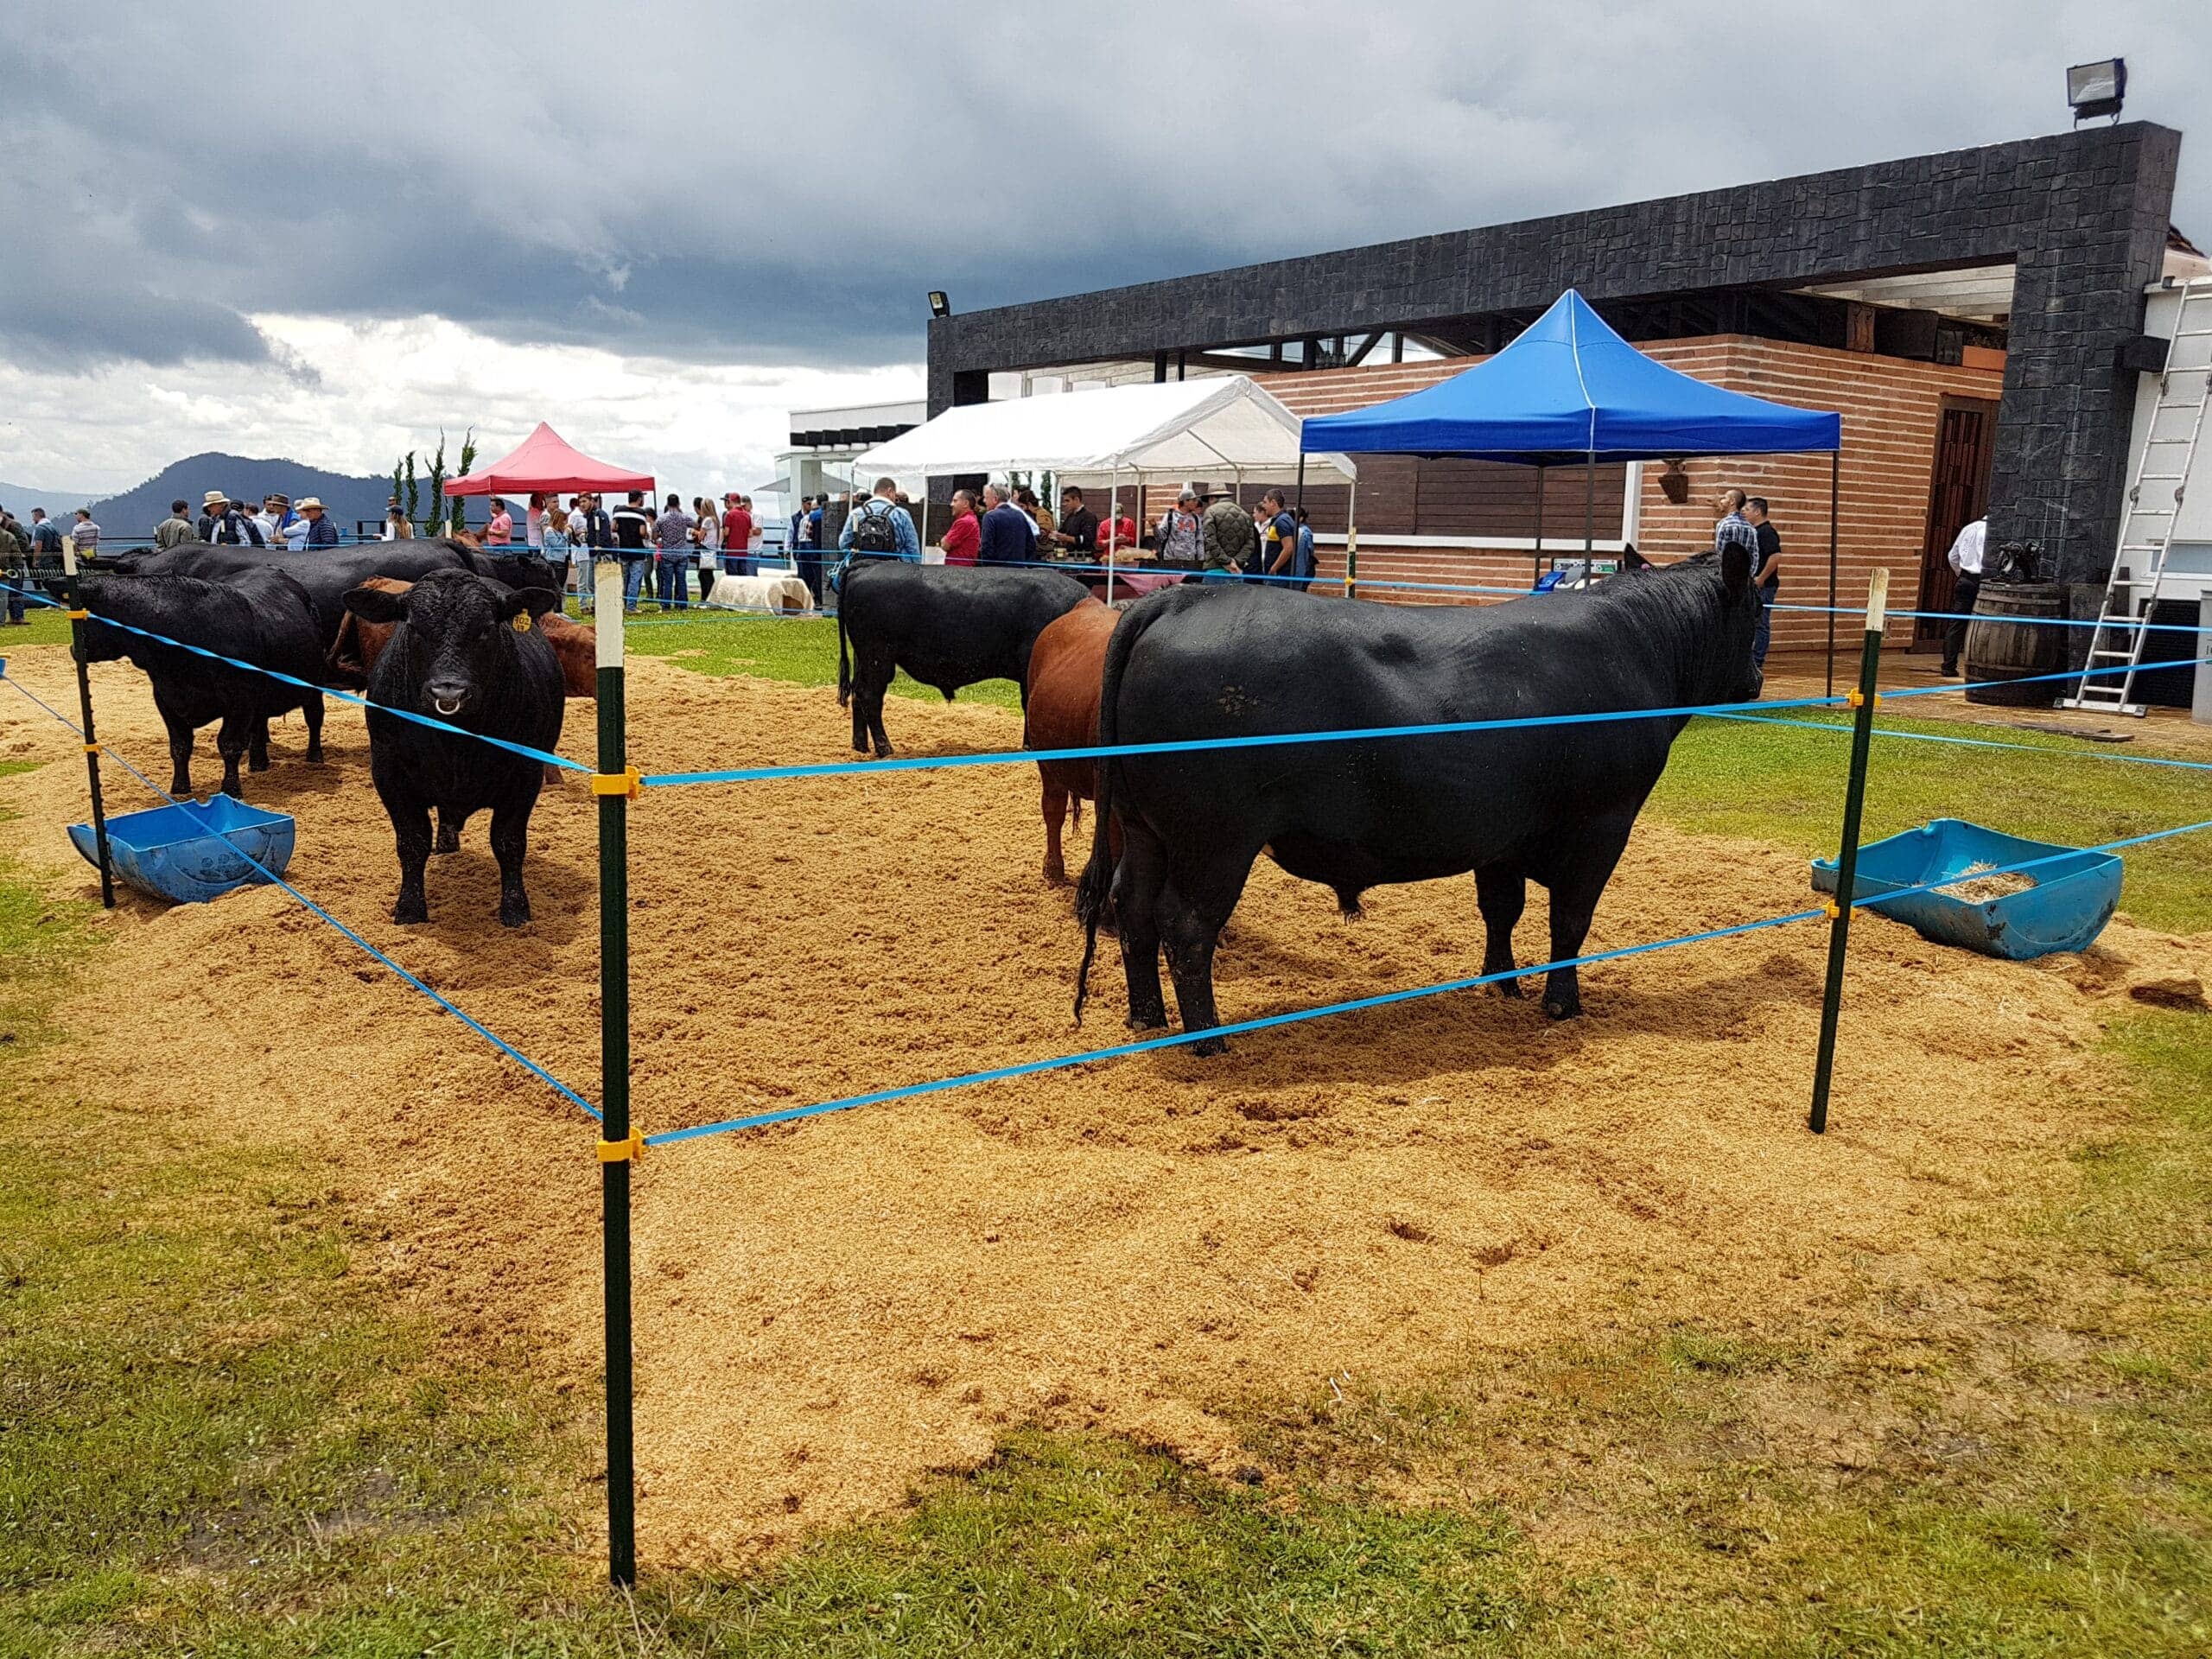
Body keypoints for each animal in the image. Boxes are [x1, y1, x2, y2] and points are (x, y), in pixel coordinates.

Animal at [75, 575, 327, 800]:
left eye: (85, 616)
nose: (74, 650)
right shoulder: (165, 698)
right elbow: (180, 746)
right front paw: (179, 788)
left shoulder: (240, 700)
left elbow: (229, 745)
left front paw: (231, 790)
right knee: (259, 727)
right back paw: (258, 763)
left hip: (313, 684)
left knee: (314, 718)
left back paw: (314, 756)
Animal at [342, 570, 566, 929]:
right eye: (414, 627)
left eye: (486, 628)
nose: (448, 694)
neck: (456, 746)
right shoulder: (389, 772)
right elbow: (412, 841)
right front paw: (409, 908)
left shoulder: (526, 774)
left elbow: (509, 842)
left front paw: (516, 909)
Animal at [831, 566, 1092, 760]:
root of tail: (867, 566)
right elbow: (1031, 703)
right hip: (878, 656)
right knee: (869, 696)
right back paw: (885, 749)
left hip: (864, 657)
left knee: (857, 693)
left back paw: (860, 746)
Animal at [1071, 553, 1760, 1057]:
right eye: (1756, 606)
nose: (1757, 679)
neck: (1638, 647)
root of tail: (1177, 599)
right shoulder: (1603, 822)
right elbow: (1570, 920)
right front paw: (1563, 1004)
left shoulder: (1499, 831)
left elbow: (1501, 910)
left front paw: (1502, 986)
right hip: (1216, 837)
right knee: (1185, 924)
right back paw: (1209, 1040)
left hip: (1144, 827)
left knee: (1131, 907)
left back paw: (1147, 1018)